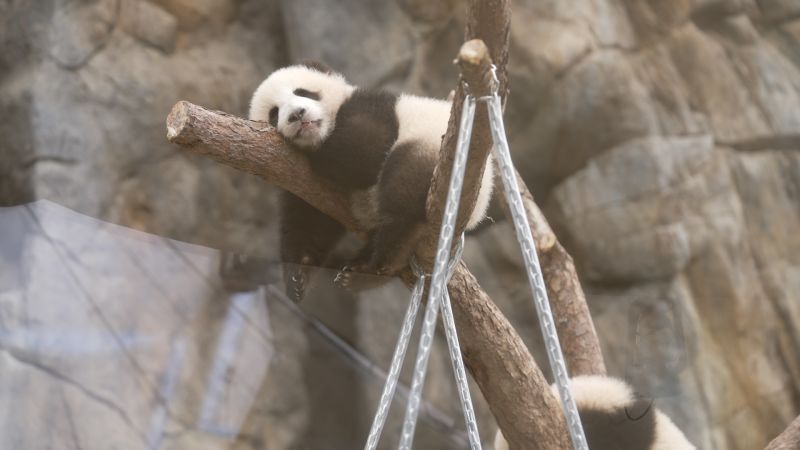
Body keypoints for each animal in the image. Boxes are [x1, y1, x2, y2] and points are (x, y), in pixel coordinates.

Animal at [252, 61, 494, 300]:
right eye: (274, 113)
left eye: (302, 92)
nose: (297, 114)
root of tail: (477, 211)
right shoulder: (303, 181)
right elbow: (309, 220)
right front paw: (297, 275)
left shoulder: (372, 109)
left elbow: (368, 150)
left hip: (432, 153)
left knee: (402, 196)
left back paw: (375, 267)